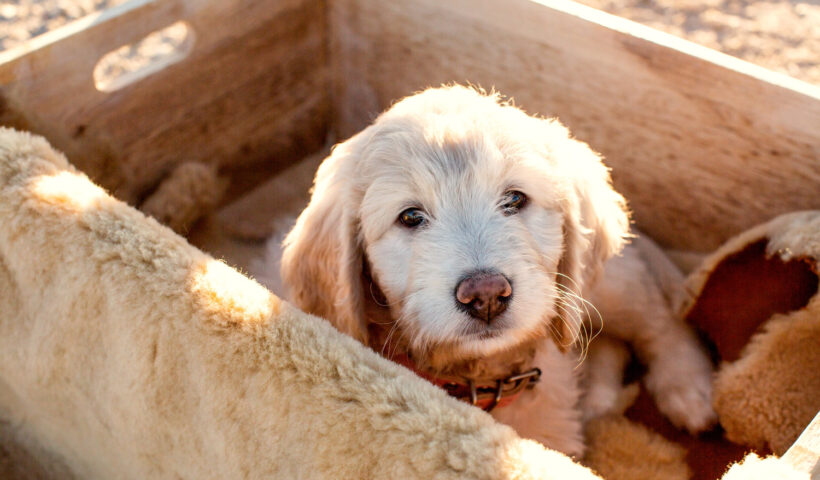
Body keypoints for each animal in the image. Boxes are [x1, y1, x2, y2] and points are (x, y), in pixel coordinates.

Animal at [278, 86, 716, 458]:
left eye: (515, 199)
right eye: (410, 217)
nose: (486, 294)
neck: (480, 380)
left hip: (602, 287)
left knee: (659, 320)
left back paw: (689, 389)